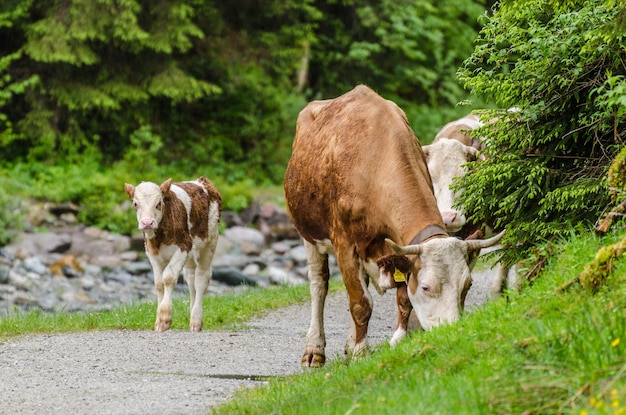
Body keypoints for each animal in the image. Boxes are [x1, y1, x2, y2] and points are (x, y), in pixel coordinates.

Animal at [123, 177, 221, 334]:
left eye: (159, 203)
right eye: (135, 204)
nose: (147, 223)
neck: (159, 238)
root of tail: (201, 181)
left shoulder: (183, 247)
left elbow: (168, 278)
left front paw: (164, 319)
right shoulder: (152, 253)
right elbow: (158, 284)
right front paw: (158, 321)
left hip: (210, 241)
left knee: (201, 278)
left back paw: (196, 320)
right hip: (191, 253)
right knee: (190, 278)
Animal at [282, 85, 502, 368]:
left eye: (468, 285)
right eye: (427, 287)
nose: (451, 332)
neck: (373, 165)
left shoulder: (399, 249)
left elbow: (403, 298)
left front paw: (394, 341)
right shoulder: (345, 245)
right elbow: (360, 304)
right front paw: (361, 353)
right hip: (309, 235)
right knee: (319, 285)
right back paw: (314, 349)